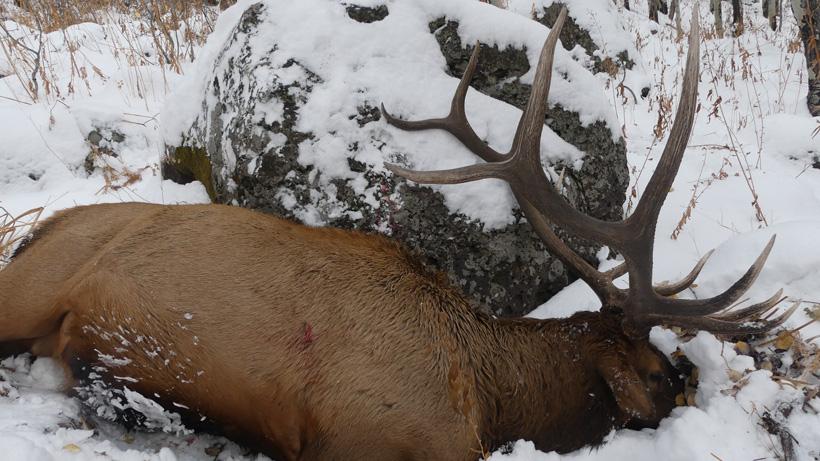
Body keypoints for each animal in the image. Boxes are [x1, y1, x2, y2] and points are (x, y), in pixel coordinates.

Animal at [0, 9, 796, 461]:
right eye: (657, 373)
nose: (689, 377)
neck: (491, 395)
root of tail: (39, 233)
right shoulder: (389, 430)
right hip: (31, 288)